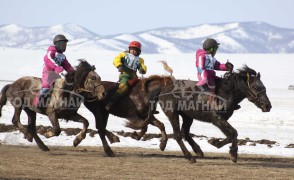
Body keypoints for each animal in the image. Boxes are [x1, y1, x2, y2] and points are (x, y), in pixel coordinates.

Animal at [130, 65, 272, 163]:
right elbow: (233, 133)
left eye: (264, 87)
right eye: (256, 87)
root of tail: (163, 89)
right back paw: (189, 157)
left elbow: (231, 134)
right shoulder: (217, 119)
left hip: (188, 117)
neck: (225, 92)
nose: (268, 106)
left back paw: (197, 150)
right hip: (173, 114)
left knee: (185, 133)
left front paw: (230, 152)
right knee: (177, 135)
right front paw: (221, 146)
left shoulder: (221, 120)